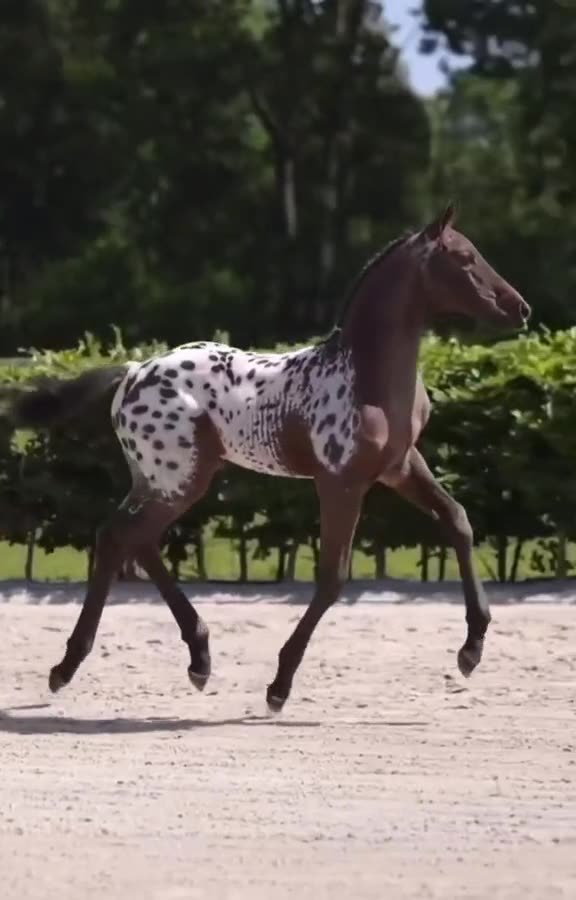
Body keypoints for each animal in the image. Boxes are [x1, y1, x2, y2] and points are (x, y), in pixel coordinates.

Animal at [10, 205, 530, 712]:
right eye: (464, 258)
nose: (519, 308)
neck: (366, 377)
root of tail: (134, 371)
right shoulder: (340, 483)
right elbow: (333, 578)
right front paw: (279, 686)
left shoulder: (399, 467)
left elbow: (458, 521)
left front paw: (471, 650)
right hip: (179, 479)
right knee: (124, 537)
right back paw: (72, 668)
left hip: (162, 478)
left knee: (127, 539)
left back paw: (192, 659)